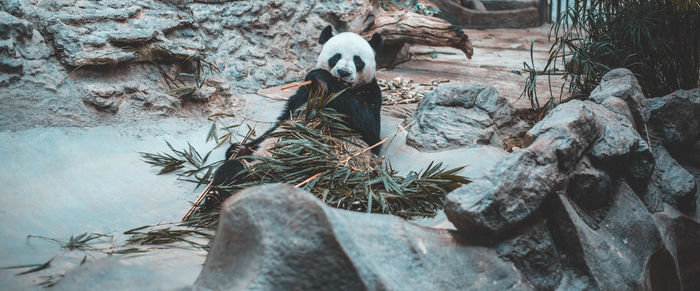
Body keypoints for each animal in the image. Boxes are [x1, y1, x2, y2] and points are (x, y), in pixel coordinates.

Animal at [209, 25, 382, 197]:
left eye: (357, 60)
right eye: (335, 57)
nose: (343, 72)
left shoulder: (371, 92)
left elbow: (368, 127)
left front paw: (322, 79)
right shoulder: (302, 95)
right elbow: (281, 121)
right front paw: (240, 147)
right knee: (231, 171)